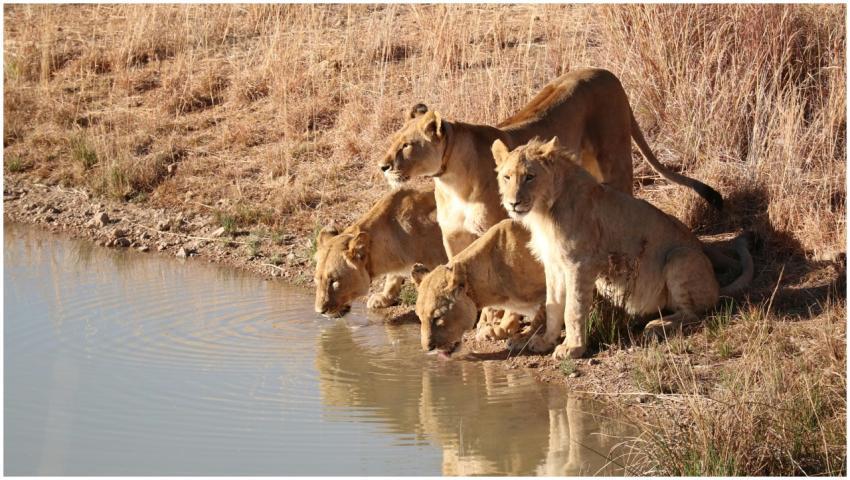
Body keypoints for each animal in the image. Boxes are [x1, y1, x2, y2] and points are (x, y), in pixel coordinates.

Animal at [493, 137, 753, 360]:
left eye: (529, 177)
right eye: (507, 177)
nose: (513, 203)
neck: (543, 211)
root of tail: (717, 287)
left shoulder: (581, 263)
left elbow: (573, 309)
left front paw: (573, 348)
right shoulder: (554, 264)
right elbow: (554, 305)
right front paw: (545, 341)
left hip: (680, 256)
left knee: (695, 313)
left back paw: (657, 325)